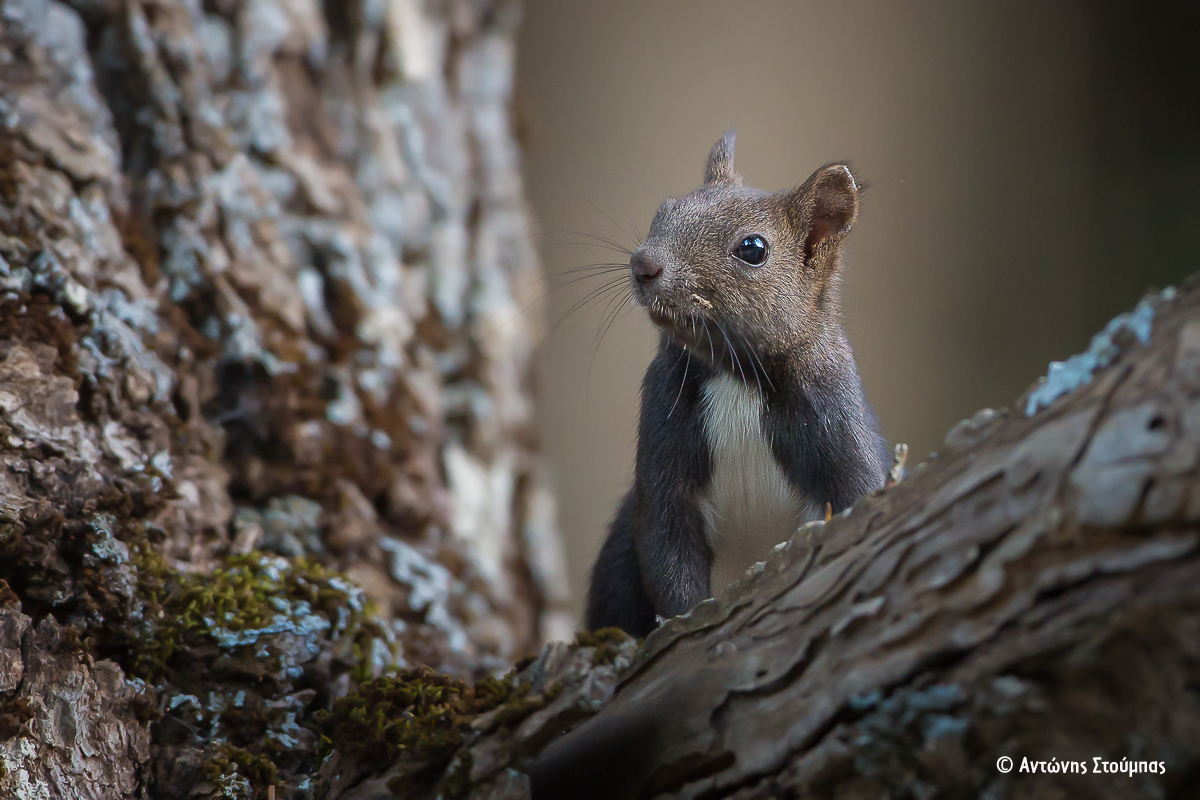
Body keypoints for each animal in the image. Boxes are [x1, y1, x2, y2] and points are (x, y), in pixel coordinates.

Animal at [585, 131, 888, 638]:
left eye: (753, 248)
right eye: (663, 210)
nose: (643, 264)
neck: (736, 375)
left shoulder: (835, 414)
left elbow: (857, 490)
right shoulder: (663, 432)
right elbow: (666, 544)